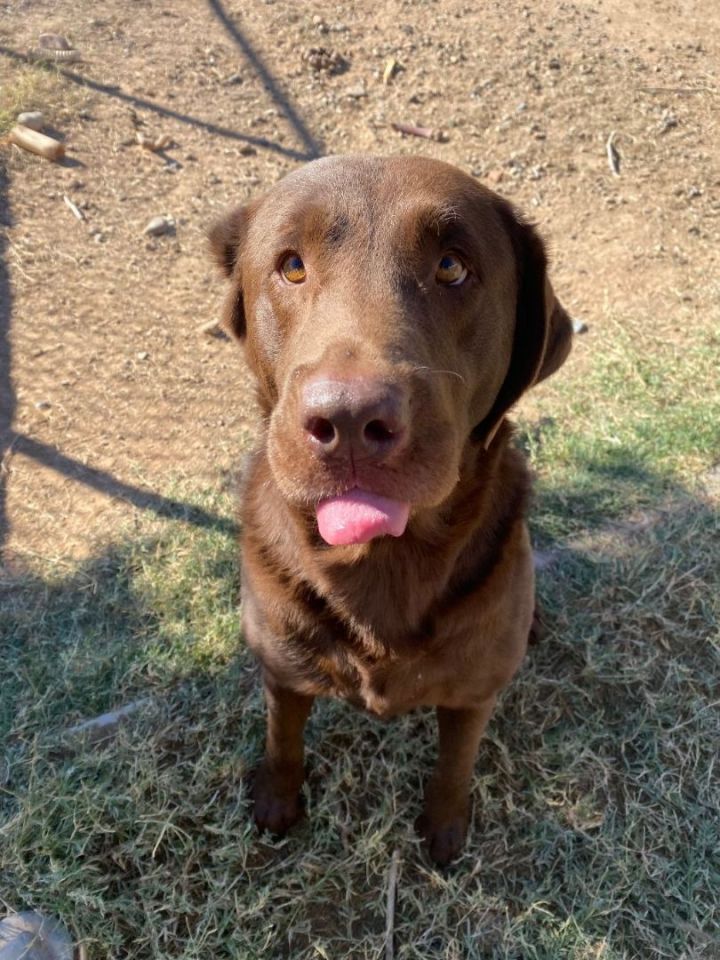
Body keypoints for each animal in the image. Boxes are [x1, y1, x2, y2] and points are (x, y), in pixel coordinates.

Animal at [210, 154, 572, 868]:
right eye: (291, 266)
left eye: (452, 267)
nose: (349, 421)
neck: (381, 564)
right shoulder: (281, 671)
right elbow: (282, 739)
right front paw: (276, 801)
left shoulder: (473, 692)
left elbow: (456, 763)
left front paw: (445, 830)